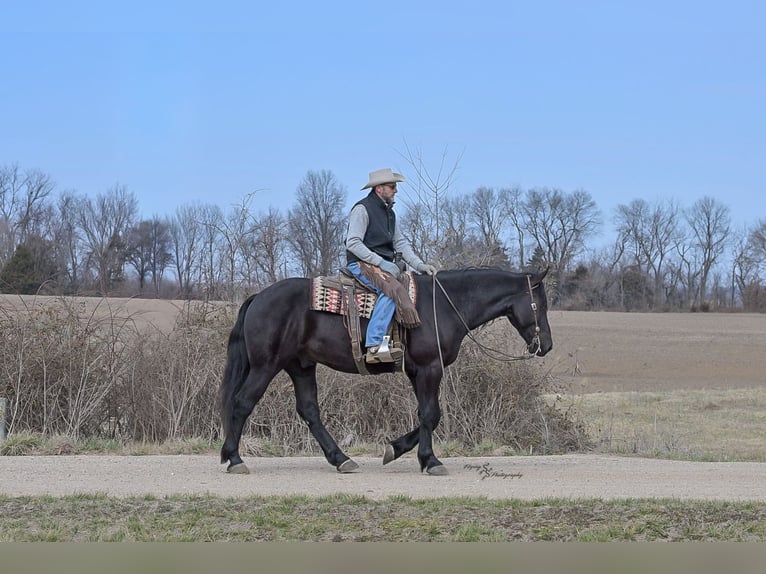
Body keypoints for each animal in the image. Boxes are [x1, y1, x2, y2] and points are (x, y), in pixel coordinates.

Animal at [219, 267, 553, 475]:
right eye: (540, 304)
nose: (546, 345)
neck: (443, 306)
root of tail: (258, 297)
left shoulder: (418, 372)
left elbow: (426, 415)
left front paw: (396, 449)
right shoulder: (430, 368)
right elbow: (431, 414)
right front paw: (430, 460)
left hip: (300, 366)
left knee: (309, 411)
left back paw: (341, 459)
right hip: (266, 366)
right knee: (242, 403)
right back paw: (234, 458)